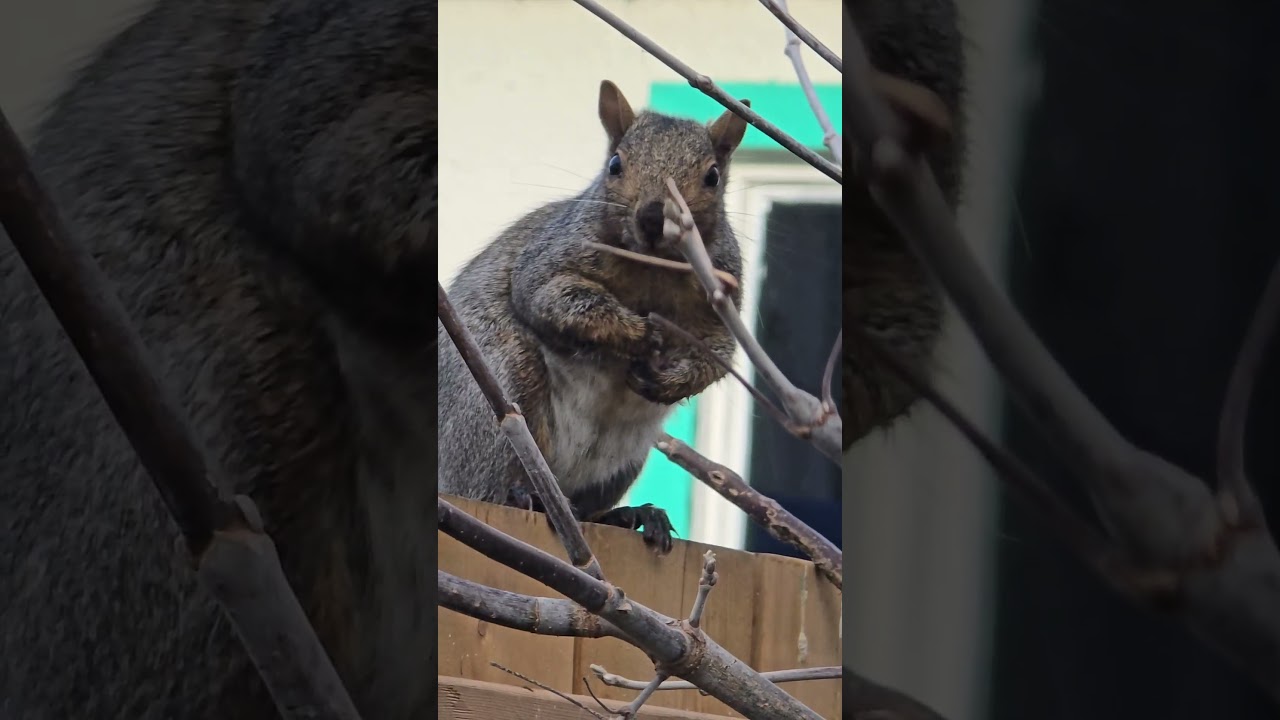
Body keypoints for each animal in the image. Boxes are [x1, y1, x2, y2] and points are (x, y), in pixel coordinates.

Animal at [437, 80, 747, 554]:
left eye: (712, 176)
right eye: (616, 164)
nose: (654, 216)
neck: (653, 267)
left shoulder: (721, 304)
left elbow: (717, 355)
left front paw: (668, 380)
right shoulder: (547, 266)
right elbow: (558, 300)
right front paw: (638, 332)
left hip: (622, 463)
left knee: (588, 509)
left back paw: (632, 516)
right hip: (498, 393)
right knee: (486, 484)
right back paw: (525, 496)